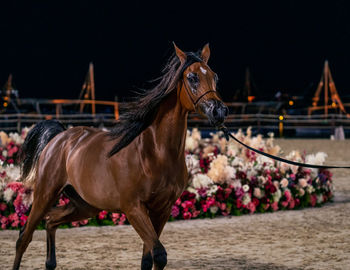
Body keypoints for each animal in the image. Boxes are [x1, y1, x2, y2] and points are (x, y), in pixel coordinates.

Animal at [13, 43, 227, 268]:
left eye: (214, 76)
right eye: (192, 77)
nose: (219, 111)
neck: (154, 152)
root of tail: (59, 138)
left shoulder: (162, 209)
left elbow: (149, 258)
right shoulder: (134, 208)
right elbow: (159, 254)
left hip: (85, 206)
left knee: (51, 221)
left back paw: (50, 263)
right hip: (45, 195)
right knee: (24, 238)